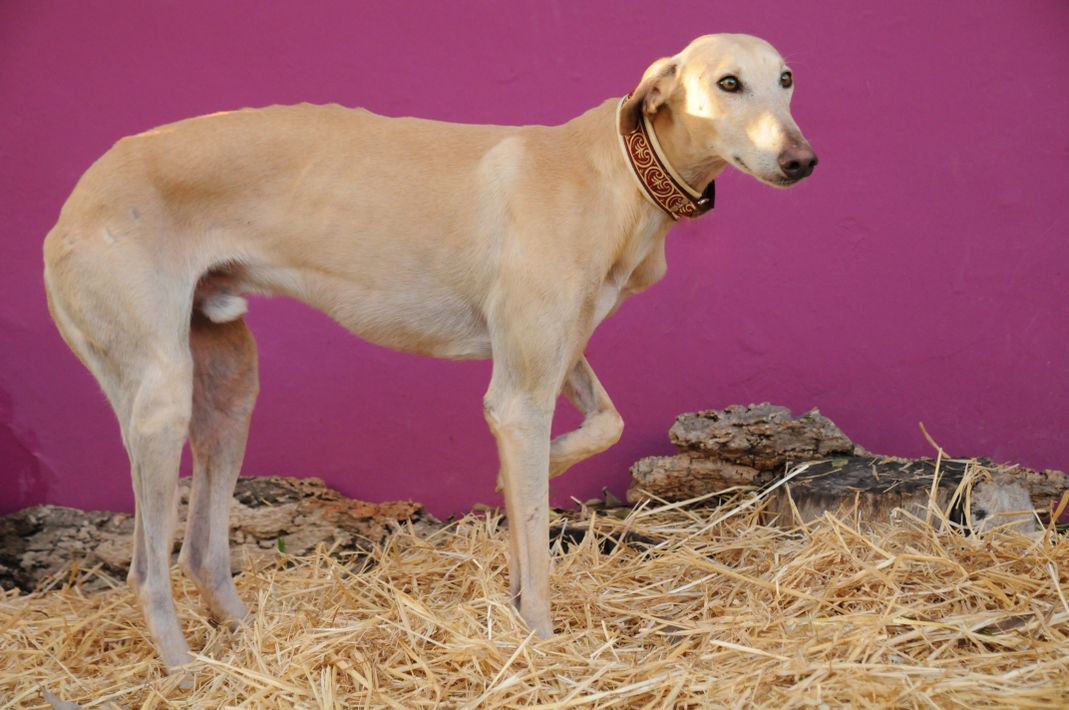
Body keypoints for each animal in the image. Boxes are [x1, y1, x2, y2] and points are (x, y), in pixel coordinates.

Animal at [43, 33, 816, 671]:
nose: (801, 161)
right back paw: (187, 673)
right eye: (726, 83)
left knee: (201, 551)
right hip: (159, 402)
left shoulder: (547, 362)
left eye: (785, 79)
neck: (613, 169)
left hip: (229, 387)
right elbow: (538, 539)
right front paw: (537, 641)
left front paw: (522, 498)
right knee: (148, 570)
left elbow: (601, 429)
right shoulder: (519, 397)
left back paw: (247, 639)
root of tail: (71, 208)